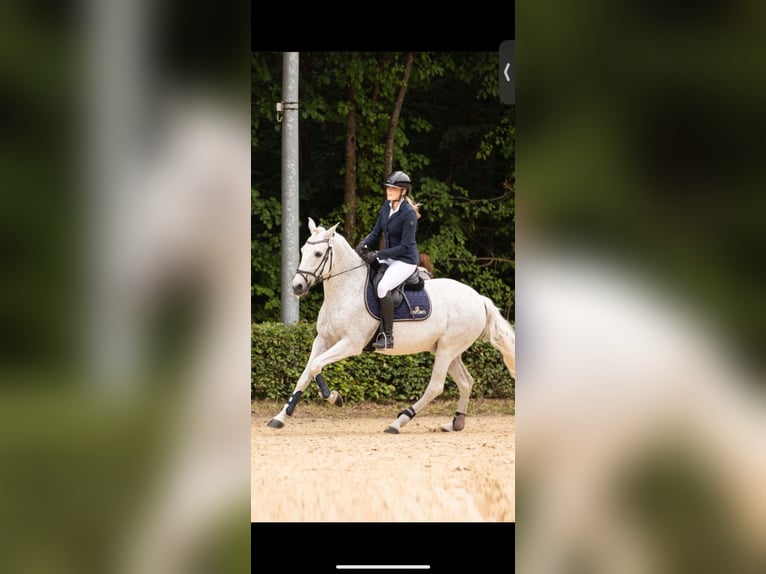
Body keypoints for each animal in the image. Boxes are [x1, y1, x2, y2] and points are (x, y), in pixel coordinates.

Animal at [266, 217, 515, 434]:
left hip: (447, 349)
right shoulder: (323, 340)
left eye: (318, 253)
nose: (297, 287)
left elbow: (316, 366)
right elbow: (306, 373)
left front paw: (335, 398)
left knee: (436, 386)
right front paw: (280, 417)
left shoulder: (351, 344)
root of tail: (479, 298)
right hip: (448, 350)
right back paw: (455, 423)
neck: (346, 290)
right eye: (301, 251)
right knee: (465, 382)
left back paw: (399, 422)